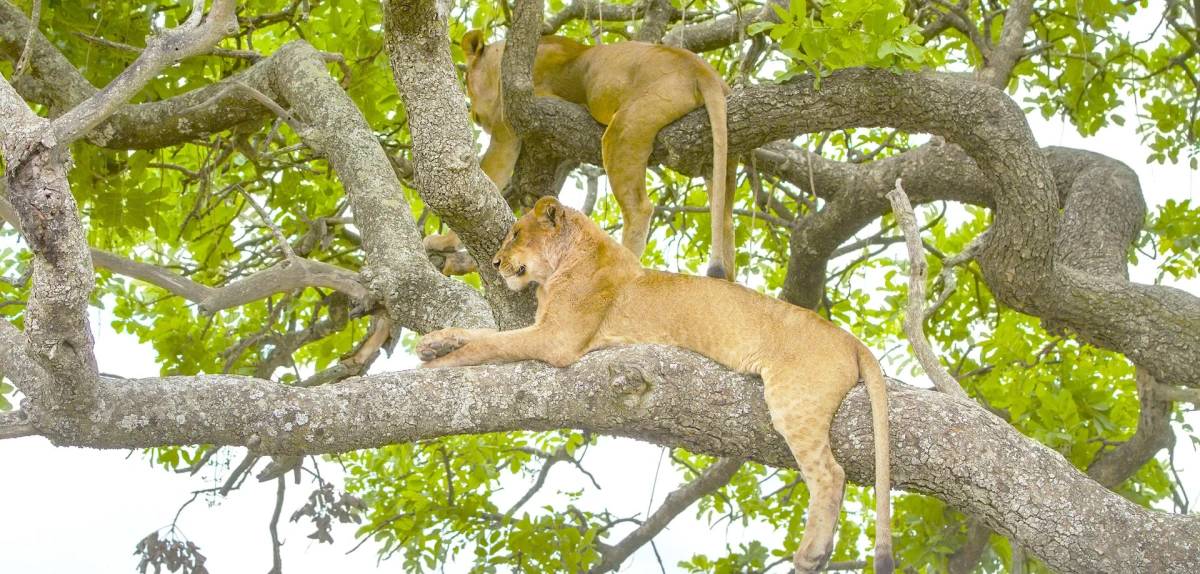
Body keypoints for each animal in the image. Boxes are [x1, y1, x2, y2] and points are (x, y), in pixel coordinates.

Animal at [417, 195, 897, 569]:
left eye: (516, 233)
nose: (496, 263)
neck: (566, 262)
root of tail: (850, 338)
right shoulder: (544, 329)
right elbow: (481, 334)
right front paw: (434, 343)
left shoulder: (557, 339)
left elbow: (489, 344)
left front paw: (438, 364)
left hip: (794, 400)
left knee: (831, 474)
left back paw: (812, 553)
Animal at [422, 30, 739, 279]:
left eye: (466, 82)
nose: (475, 117)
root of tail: (702, 69)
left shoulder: (507, 126)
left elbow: (488, 176)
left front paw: (444, 240)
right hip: (724, 156)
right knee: (724, 220)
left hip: (624, 127)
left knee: (639, 208)